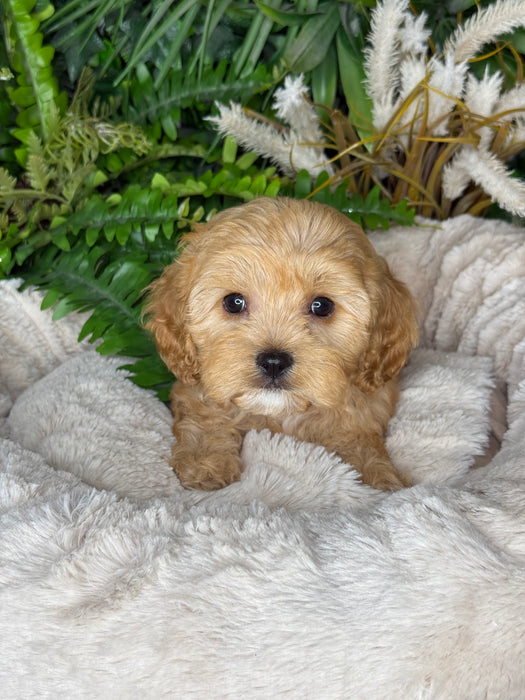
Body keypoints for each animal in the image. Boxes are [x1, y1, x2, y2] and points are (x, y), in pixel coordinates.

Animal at [143, 197, 418, 492]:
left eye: (322, 306)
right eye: (234, 302)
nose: (274, 361)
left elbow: (356, 437)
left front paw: (375, 475)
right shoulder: (196, 392)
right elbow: (206, 421)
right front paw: (204, 463)